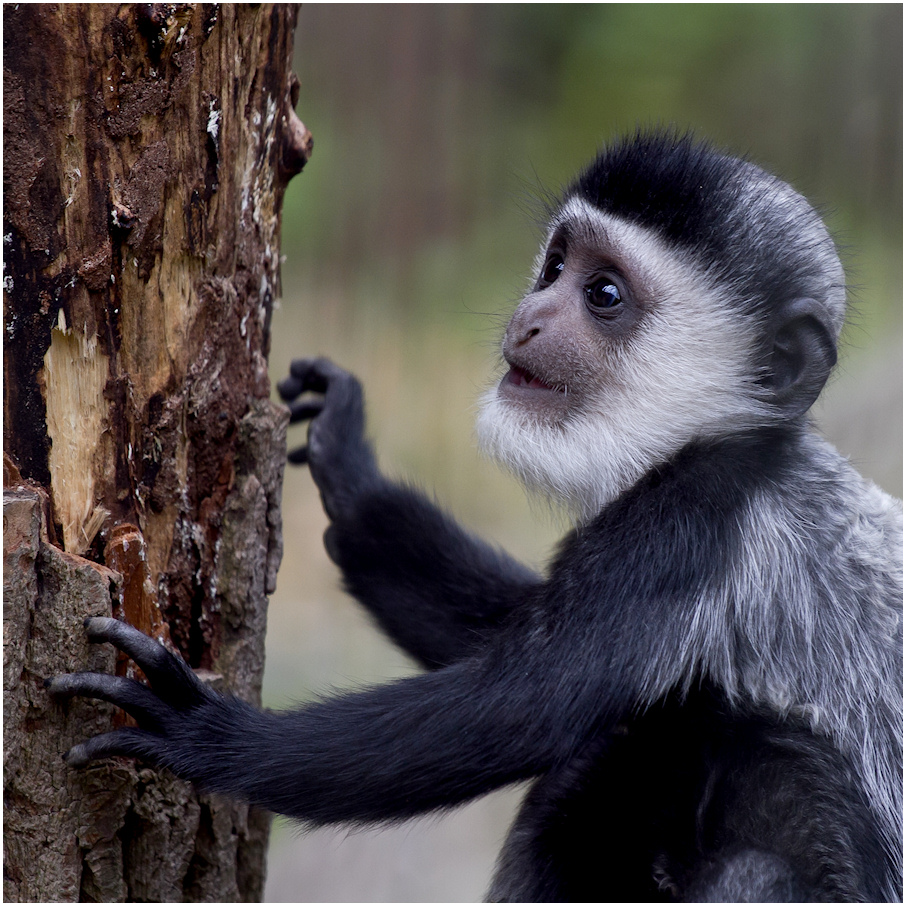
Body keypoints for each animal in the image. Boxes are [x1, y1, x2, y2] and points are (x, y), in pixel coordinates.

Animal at [51, 131, 904, 900]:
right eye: (555, 266)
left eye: (604, 294)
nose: (528, 317)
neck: (742, 440)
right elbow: (504, 626)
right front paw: (348, 463)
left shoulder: (688, 526)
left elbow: (517, 705)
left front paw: (194, 728)